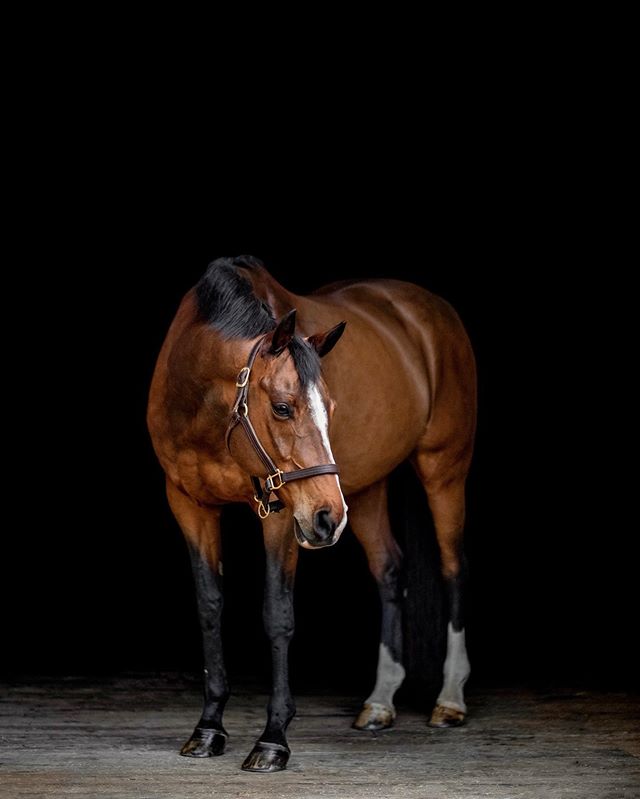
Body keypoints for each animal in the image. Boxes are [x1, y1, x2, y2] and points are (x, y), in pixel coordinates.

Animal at [146, 255, 476, 768]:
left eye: (332, 408)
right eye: (283, 408)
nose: (326, 519)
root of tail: (431, 308)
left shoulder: (282, 513)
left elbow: (278, 614)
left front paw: (273, 739)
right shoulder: (188, 503)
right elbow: (209, 607)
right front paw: (207, 728)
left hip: (442, 469)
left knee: (452, 567)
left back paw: (450, 699)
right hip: (365, 488)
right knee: (389, 570)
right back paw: (380, 702)